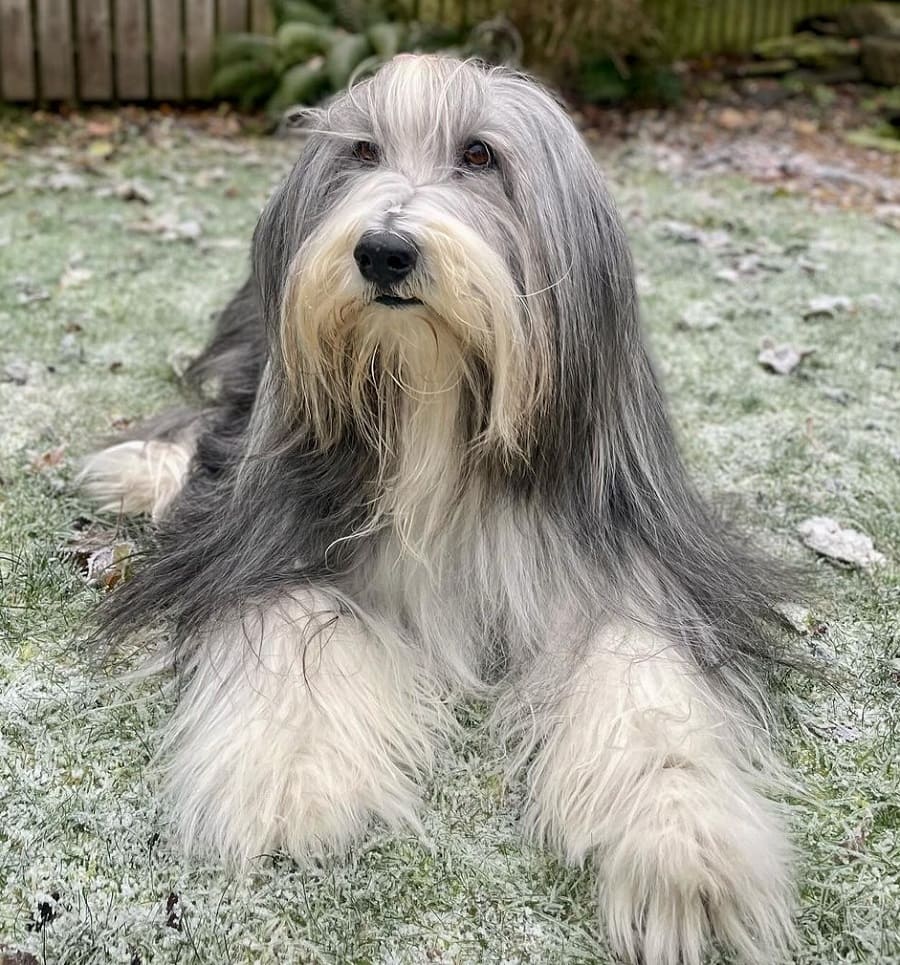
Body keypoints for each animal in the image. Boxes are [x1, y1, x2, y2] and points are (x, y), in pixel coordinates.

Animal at [79, 56, 796, 964]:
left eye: (480, 156)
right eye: (361, 150)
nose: (383, 250)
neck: (431, 391)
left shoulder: (627, 549)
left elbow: (644, 670)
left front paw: (686, 844)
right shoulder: (267, 528)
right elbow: (293, 613)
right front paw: (291, 771)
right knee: (212, 420)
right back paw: (141, 468)